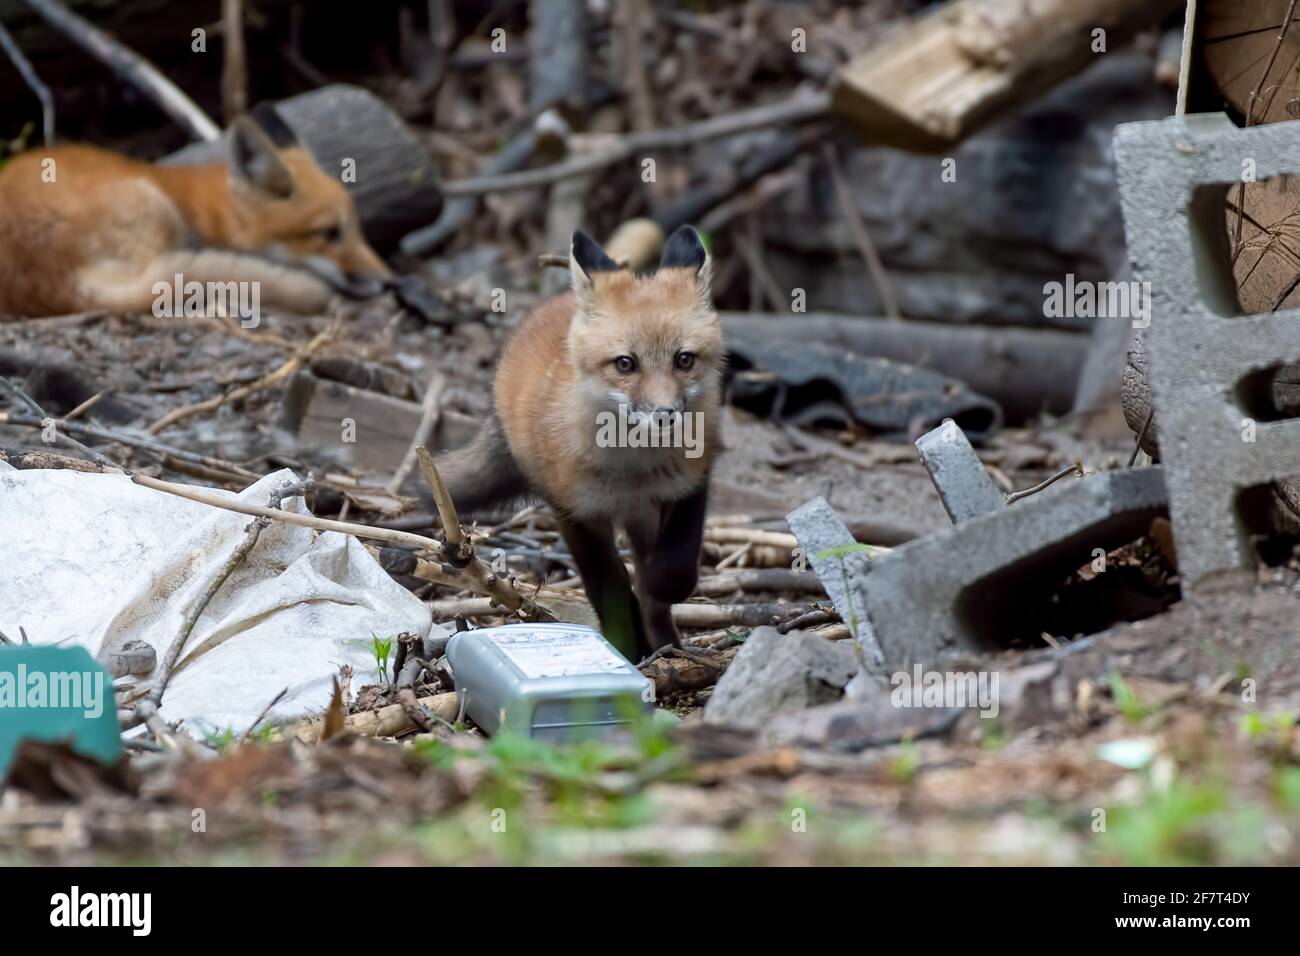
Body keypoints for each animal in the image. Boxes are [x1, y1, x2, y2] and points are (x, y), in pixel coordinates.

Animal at [433, 225, 724, 661]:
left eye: (684, 359)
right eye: (625, 364)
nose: (665, 414)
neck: (634, 470)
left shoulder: (692, 481)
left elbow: (672, 568)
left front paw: (660, 596)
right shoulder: (574, 510)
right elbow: (610, 587)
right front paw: (628, 646)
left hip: (644, 515)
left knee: (650, 580)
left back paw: (668, 643)